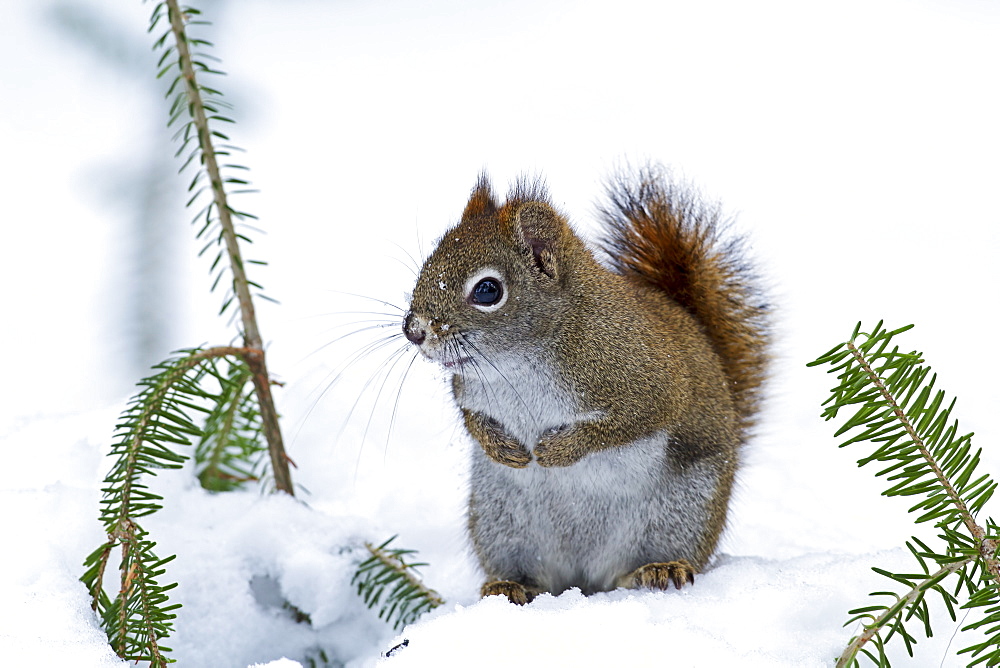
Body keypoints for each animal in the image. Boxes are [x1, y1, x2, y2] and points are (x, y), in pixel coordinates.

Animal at [402, 163, 768, 604]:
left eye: (488, 290)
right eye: (427, 265)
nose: (413, 330)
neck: (520, 363)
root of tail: (585, 579)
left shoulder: (651, 381)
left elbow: (631, 422)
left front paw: (559, 450)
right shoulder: (469, 389)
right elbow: (471, 417)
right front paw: (502, 448)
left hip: (682, 511)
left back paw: (659, 569)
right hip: (502, 523)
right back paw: (510, 585)